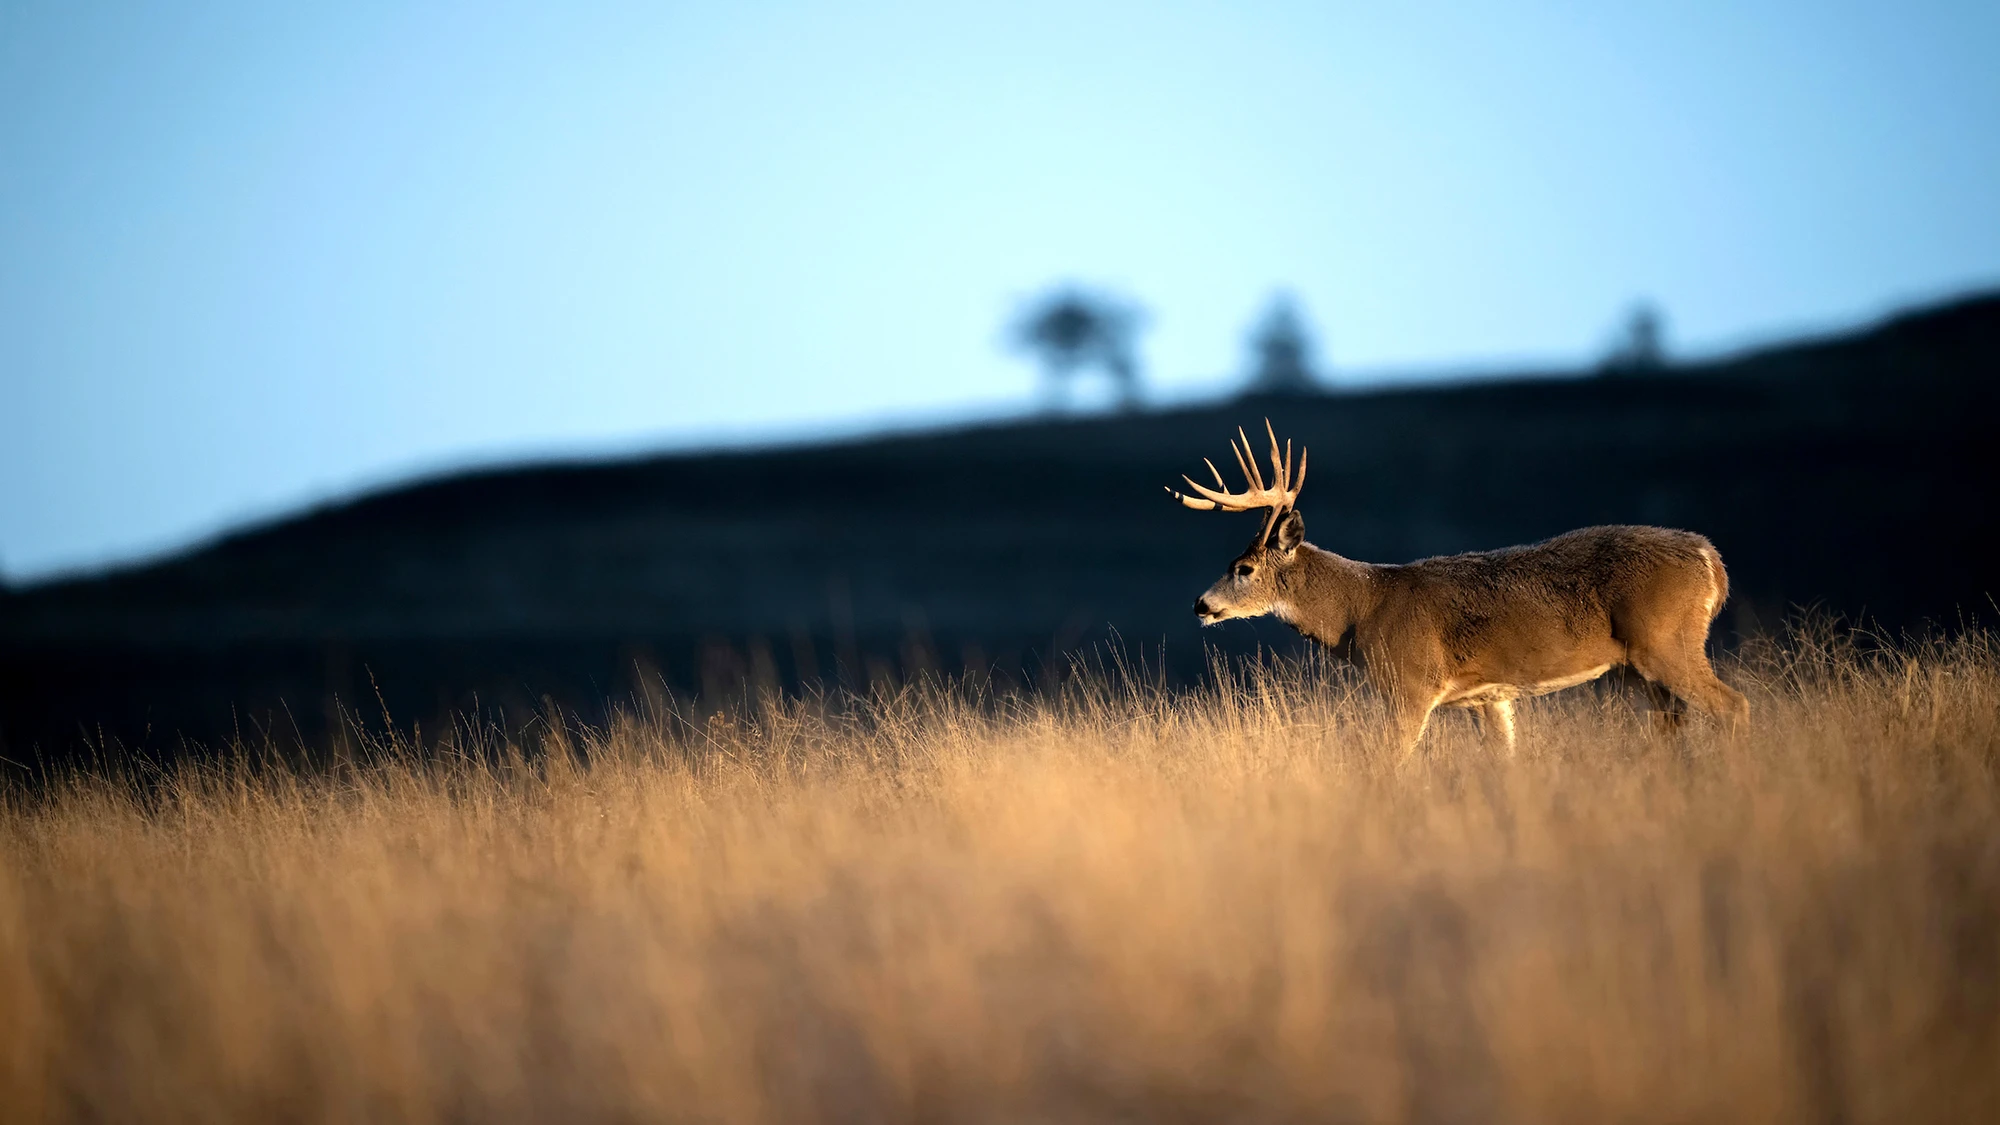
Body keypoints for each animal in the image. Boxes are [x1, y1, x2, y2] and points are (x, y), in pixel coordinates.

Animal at [1168, 420, 1752, 752]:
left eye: (1243, 568)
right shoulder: (1487, 698)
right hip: (1639, 667)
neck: (1362, 610)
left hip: (1667, 642)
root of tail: (1712, 562)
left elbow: (1387, 767)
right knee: (1675, 722)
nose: (1200, 604)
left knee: (1734, 706)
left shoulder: (1410, 685)